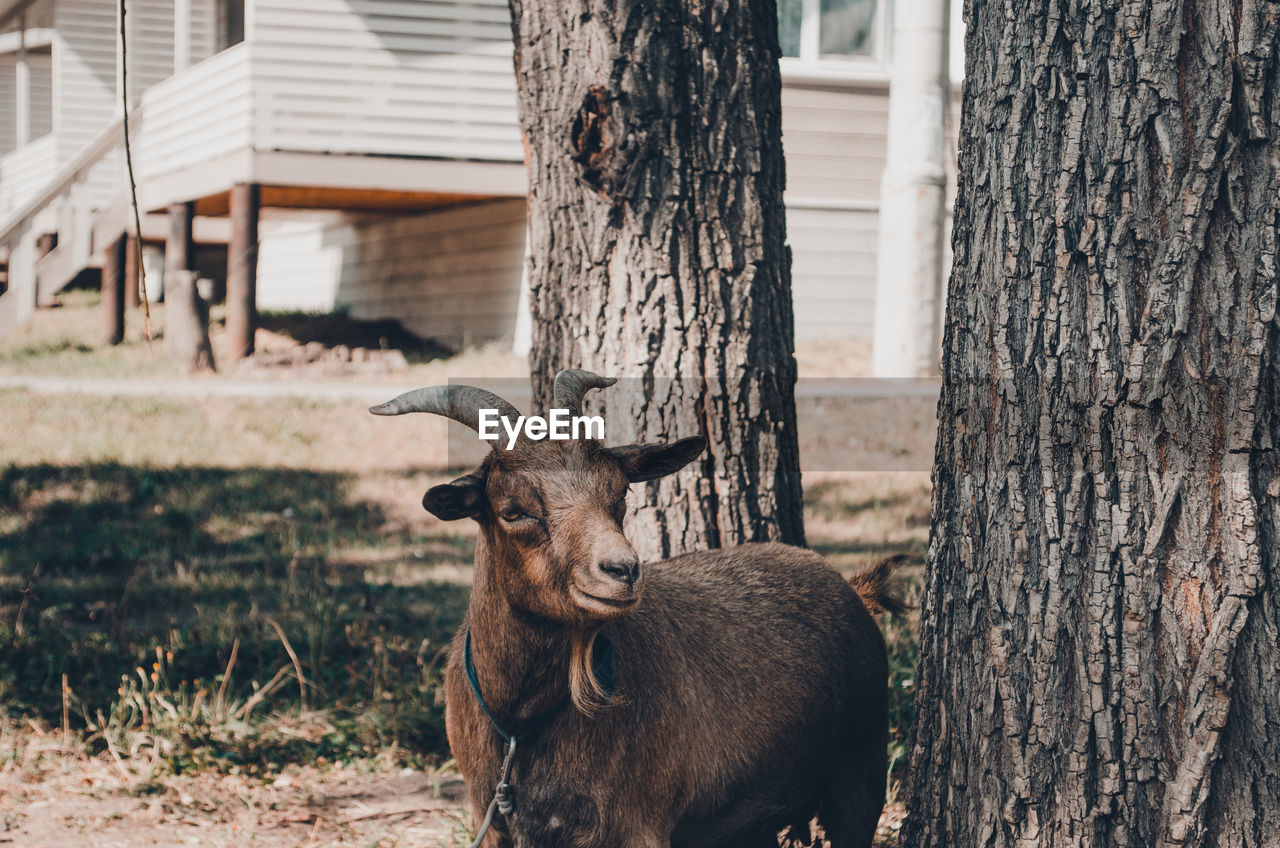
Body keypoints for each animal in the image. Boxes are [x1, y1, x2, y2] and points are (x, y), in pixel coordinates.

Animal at [371, 371, 890, 848]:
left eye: (620, 492)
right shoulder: (494, 823)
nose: (622, 570)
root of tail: (851, 587)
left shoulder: (636, 825)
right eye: (513, 510)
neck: (520, 722)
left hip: (861, 771)